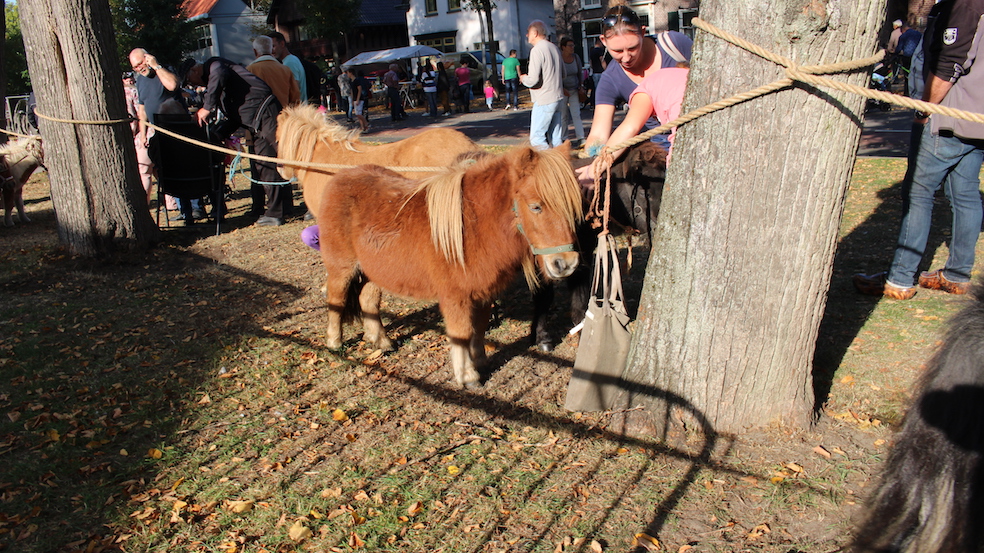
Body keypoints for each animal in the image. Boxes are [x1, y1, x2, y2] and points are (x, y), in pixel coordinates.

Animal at [317, 144, 583, 388]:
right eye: (536, 206)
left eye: (572, 206)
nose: (566, 263)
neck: (472, 227)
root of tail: (340, 178)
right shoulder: (455, 297)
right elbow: (461, 333)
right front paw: (467, 376)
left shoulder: (483, 293)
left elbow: (479, 327)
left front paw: (480, 361)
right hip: (342, 269)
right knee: (336, 300)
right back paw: (334, 343)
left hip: (373, 271)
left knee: (368, 300)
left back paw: (381, 342)